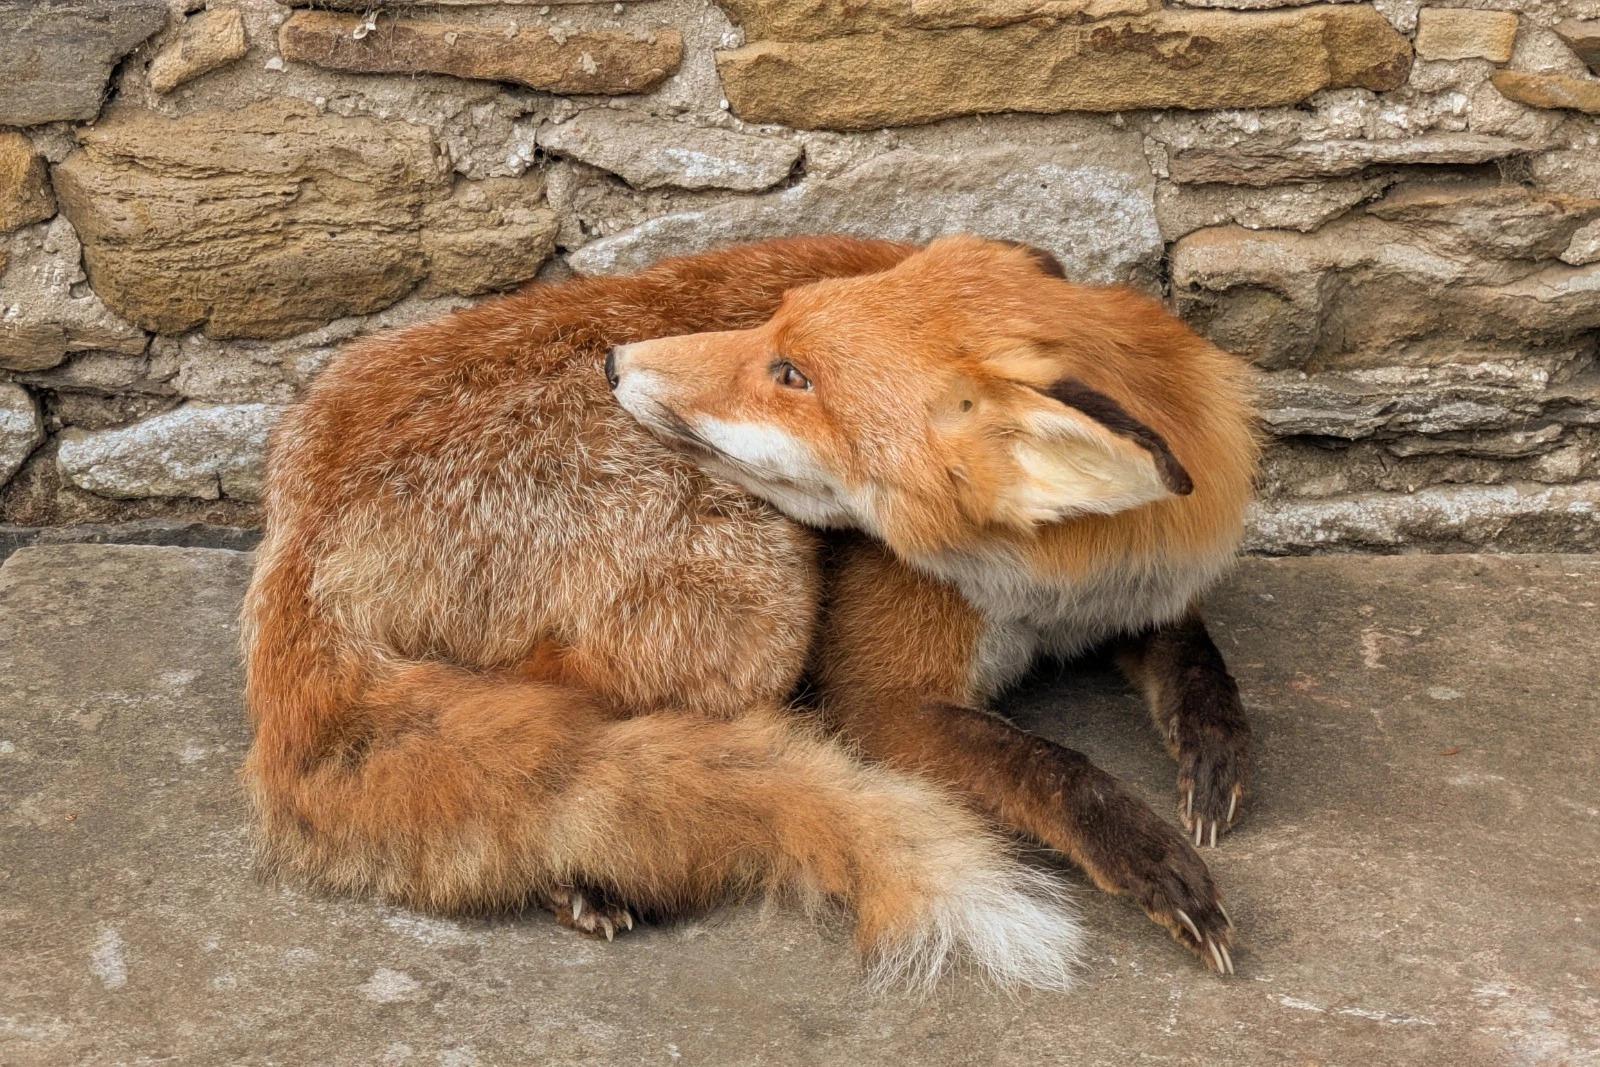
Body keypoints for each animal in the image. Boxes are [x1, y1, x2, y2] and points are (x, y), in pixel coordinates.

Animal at [609, 234, 1259, 974]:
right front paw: (1150, 858)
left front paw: (1215, 751)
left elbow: (1195, 656)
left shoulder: (1137, 591)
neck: (1044, 596)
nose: (614, 361)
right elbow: (1046, 764)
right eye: (773, 320)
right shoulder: (880, 702)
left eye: (793, 374)